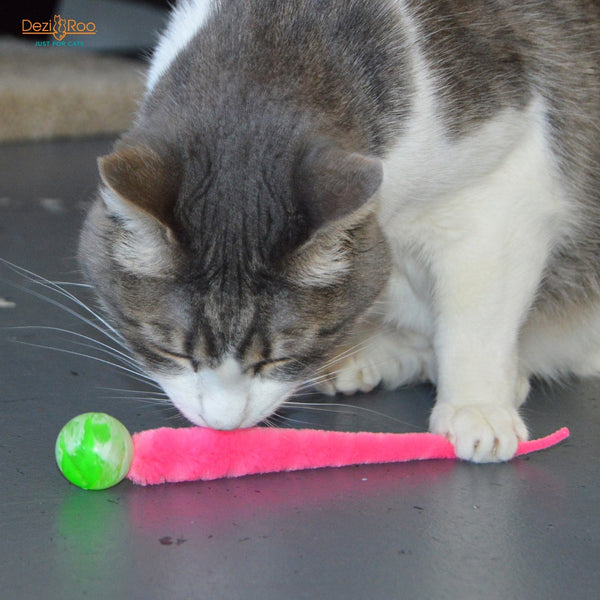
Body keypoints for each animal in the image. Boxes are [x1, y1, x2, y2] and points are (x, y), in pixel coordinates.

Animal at [78, 0, 600, 464]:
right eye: (171, 351)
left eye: (281, 358)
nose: (224, 425)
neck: (284, 40)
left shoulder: (507, 178)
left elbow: (478, 317)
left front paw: (478, 406)